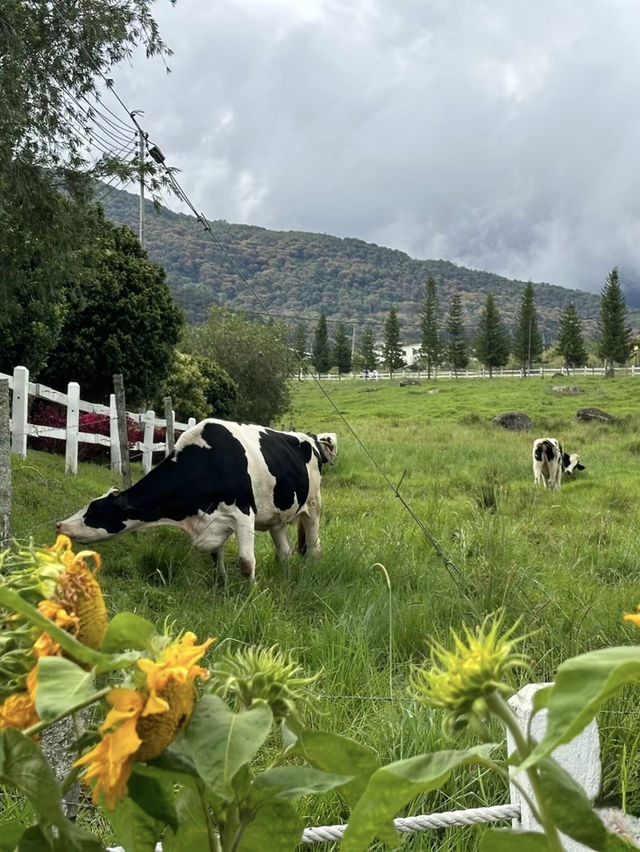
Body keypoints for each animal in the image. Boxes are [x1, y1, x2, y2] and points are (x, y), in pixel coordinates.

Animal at [57, 419, 337, 584]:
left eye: (94, 510)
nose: (59, 524)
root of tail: (311, 437)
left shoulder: (244, 514)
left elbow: (246, 562)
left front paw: (251, 594)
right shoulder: (214, 522)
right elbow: (216, 556)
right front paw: (222, 585)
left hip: (313, 506)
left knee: (314, 546)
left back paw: (311, 571)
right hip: (276, 516)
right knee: (285, 552)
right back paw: (285, 579)